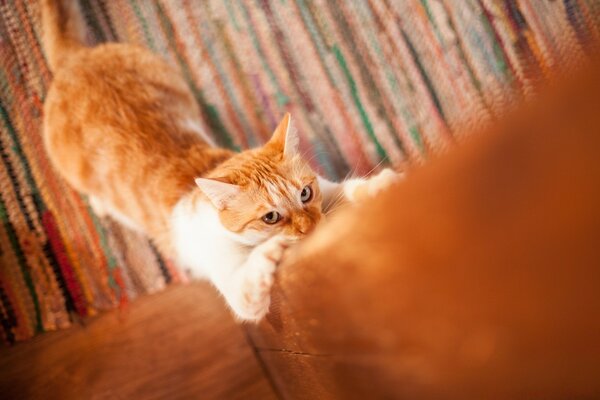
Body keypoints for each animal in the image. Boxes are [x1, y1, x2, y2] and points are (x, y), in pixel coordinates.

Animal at [42, 0, 398, 320]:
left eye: (305, 194)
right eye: (270, 217)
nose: (310, 228)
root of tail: (76, 57)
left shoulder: (327, 188)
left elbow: (348, 188)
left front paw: (381, 186)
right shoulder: (237, 290)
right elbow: (251, 280)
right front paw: (271, 250)